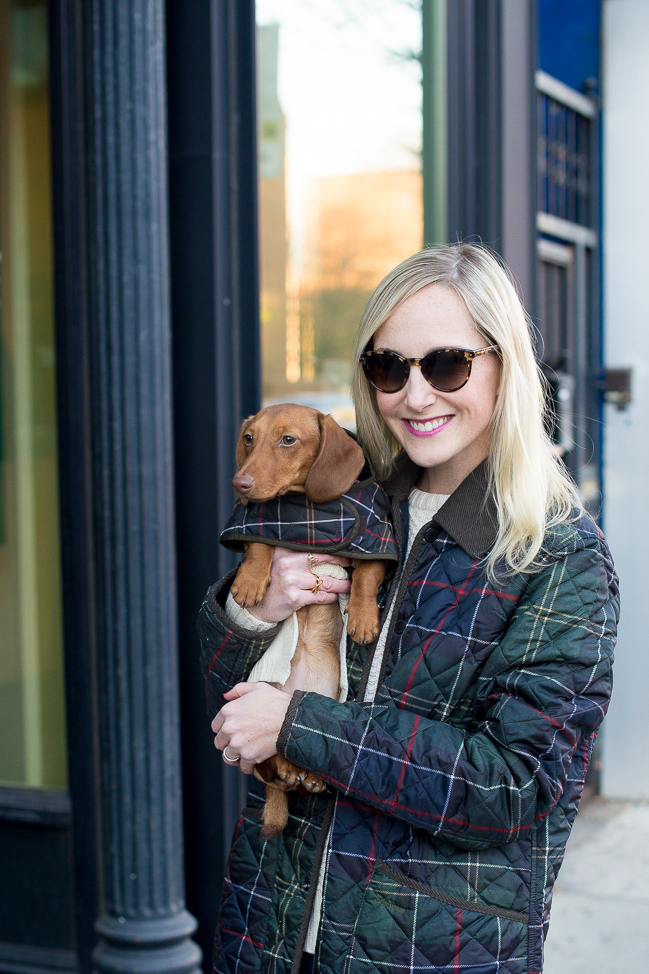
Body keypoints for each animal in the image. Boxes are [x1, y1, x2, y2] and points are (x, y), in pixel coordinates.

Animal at [230, 404, 388, 840]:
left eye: (288, 440)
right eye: (249, 438)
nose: (240, 483)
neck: (305, 506)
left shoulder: (375, 545)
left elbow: (366, 574)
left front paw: (363, 617)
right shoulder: (258, 523)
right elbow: (260, 544)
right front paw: (250, 580)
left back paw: (308, 775)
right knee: (270, 767)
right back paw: (288, 772)